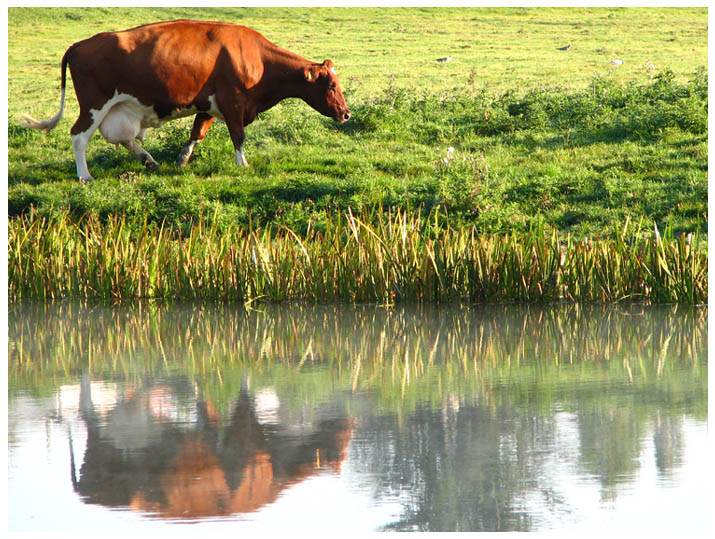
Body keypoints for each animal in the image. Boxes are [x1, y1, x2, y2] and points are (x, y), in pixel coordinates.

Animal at [18, 20, 350, 182]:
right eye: (332, 85)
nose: (346, 114)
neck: (257, 58)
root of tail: (79, 45)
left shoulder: (210, 104)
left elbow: (197, 133)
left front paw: (181, 159)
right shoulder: (233, 102)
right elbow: (238, 136)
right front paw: (242, 165)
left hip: (117, 108)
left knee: (123, 138)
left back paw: (148, 160)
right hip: (93, 105)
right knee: (79, 137)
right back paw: (85, 175)